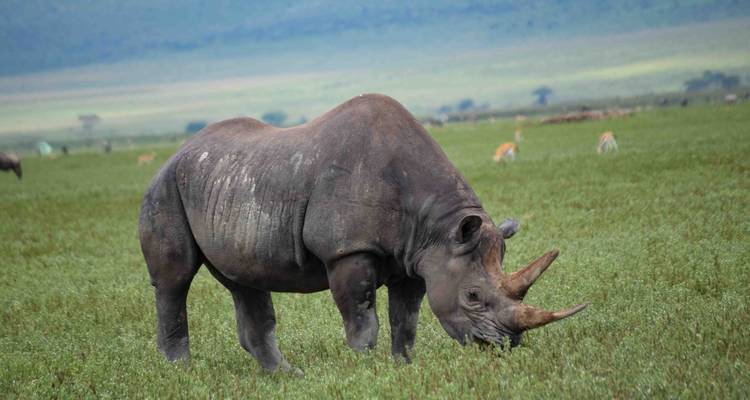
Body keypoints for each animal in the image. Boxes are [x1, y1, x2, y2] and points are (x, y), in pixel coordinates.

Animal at [139, 94, 586, 374]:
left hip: (227, 181)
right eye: (473, 296)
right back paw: (181, 372)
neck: (439, 227)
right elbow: (361, 318)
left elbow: (406, 321)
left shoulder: (417, 256)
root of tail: (177, 152)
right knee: (174, 280)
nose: (504, 346)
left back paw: (286, 376)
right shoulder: (347, 250)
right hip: (166, 187)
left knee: (244, 281)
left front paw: (402, 368)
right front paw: (363, 370)